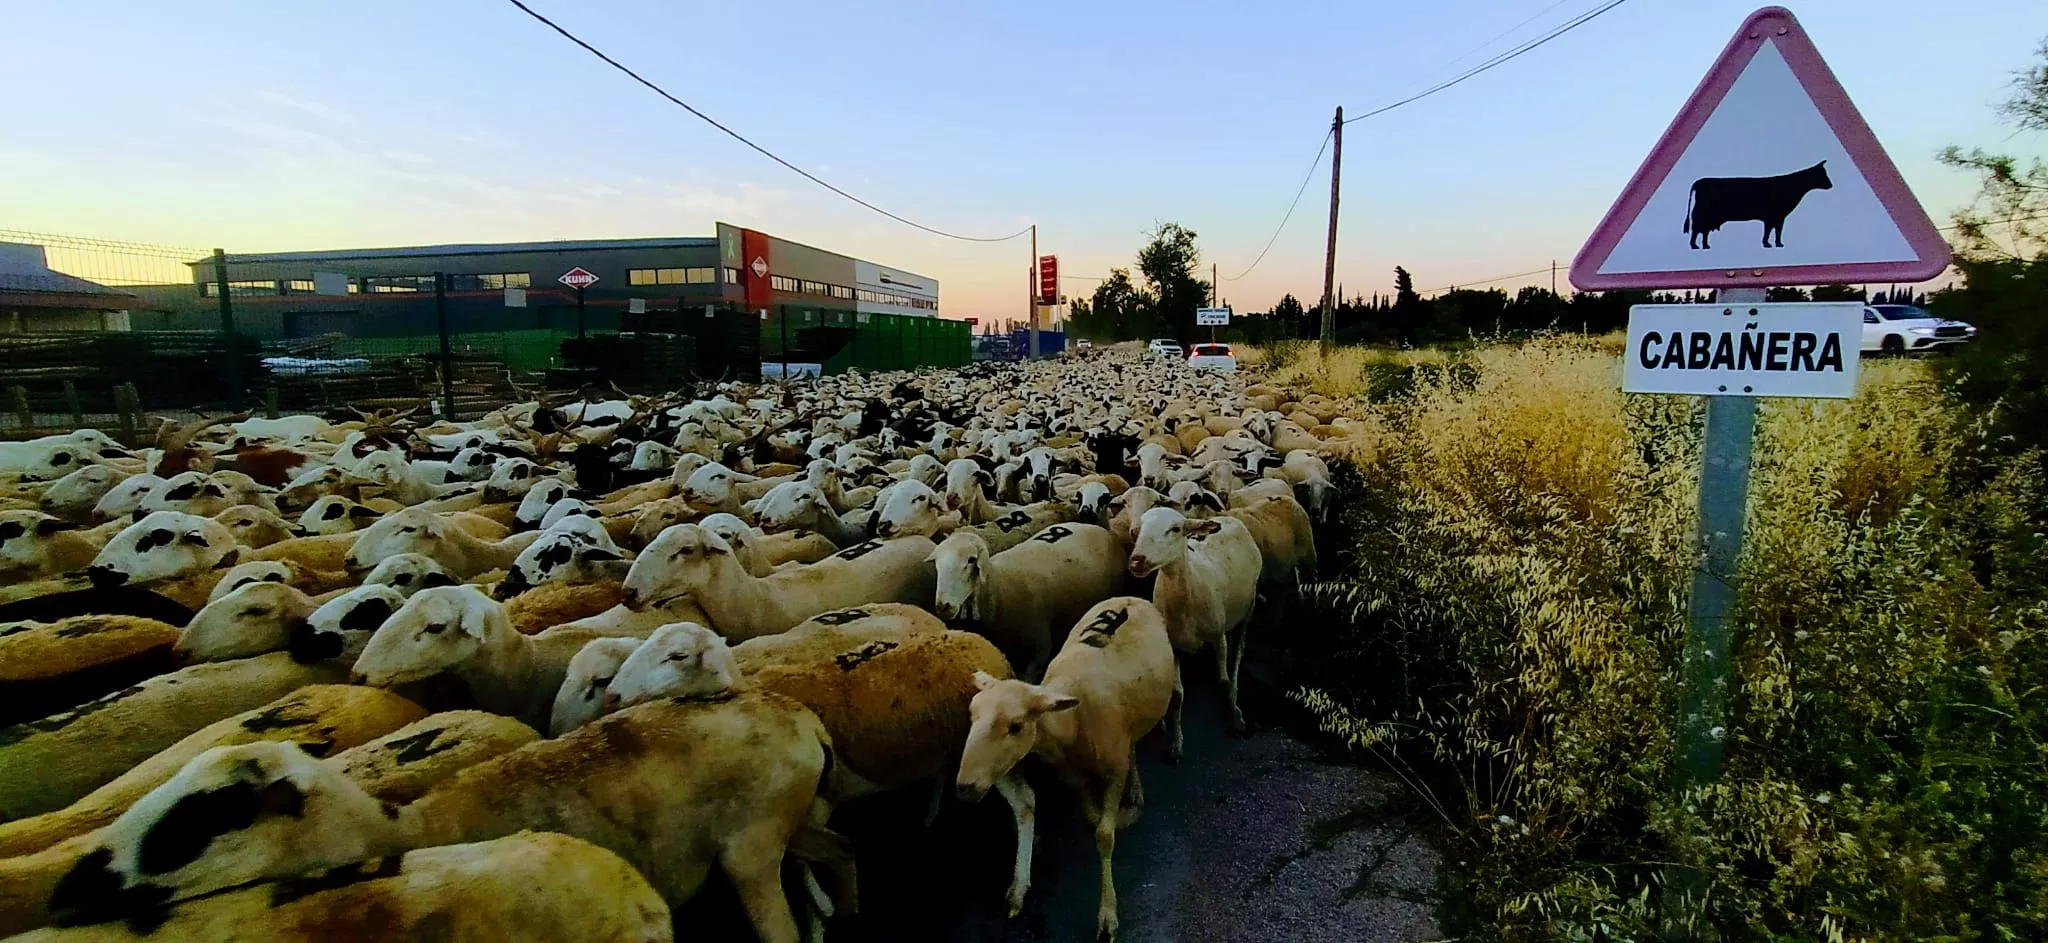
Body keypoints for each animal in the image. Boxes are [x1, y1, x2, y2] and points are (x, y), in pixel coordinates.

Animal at [928, 523, 1128, 682]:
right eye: (937, 564)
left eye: (971, 560)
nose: (943, 606)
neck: (999, 588)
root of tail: (1099, 528)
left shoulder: (1039, 650)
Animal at [957, 597, 1177, 939]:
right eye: (971, 714)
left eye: (1016, 727)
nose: (965, 786)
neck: (1072, 719)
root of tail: (1129, 598)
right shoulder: (1073, 778)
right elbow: (1092, 819)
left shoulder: (1113, 771)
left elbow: (1104, 836)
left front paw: (1107, 914)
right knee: (1132, 746)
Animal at [1128, 507, 1262, 749]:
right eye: (1140, 528)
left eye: (1175, 529)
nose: (1136, 561)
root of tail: (1226, 517)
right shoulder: (1173, 646)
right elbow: (1177, 695)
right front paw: (1176, 743)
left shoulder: (1218, 637)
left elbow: (1222, 681)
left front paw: (1232, 716)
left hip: (1249, 608)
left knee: (1238, 653)